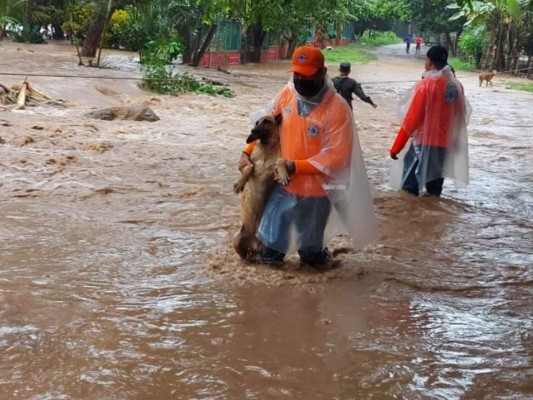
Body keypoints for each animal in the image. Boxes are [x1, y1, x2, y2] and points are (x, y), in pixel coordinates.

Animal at [233, 114, 288, 260]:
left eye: (267, 121)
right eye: (257, 122)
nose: (253, 130)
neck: (266, 147)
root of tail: (254, 244)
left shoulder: (273, 172)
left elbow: (280, 161)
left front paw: (283, 174)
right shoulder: (249, 163)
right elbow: (249, 167)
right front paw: (240, 184)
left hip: (269, 247)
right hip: (237, 241)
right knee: (244, 255)